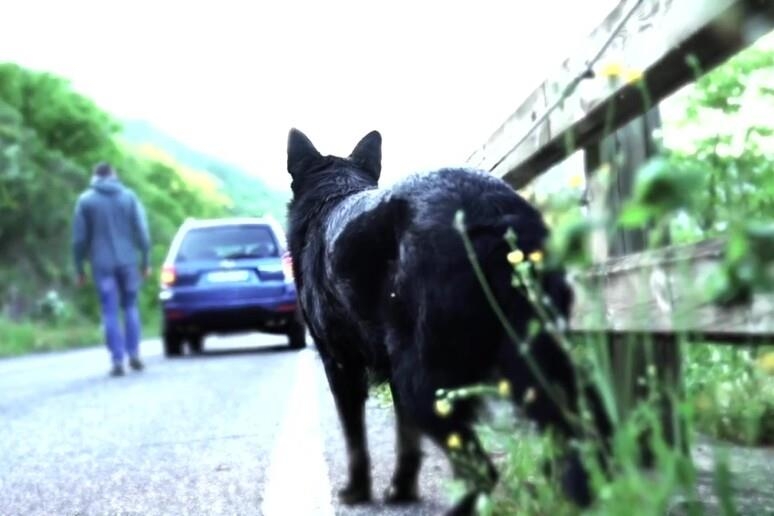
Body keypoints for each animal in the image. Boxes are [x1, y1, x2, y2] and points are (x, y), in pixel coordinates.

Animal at [284, 128, 612, 512]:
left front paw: (358, 492)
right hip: (527, 358)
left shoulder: (341, 368)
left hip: (423, 383)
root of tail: (488, 208)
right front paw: (402, 490)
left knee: (483, 469)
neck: (334, 194)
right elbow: (406, 441)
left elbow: (355, 440)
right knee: (587, 424)